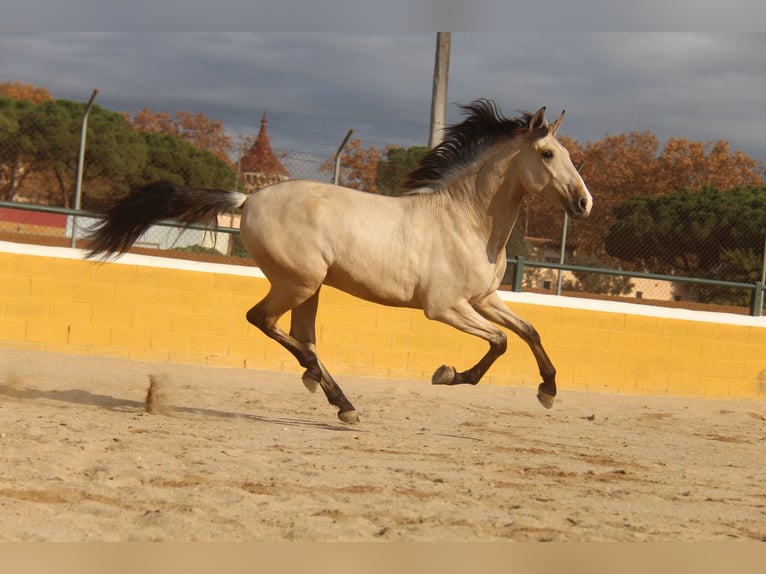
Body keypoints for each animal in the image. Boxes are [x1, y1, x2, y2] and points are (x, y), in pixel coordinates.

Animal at [88, 99, 592, 426]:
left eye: (569, 155)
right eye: (548, 154)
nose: (584, 203)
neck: (465, 220)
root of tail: (248, 198)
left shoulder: (484, 298)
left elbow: (529, 332)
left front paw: (548, 392)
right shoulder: (445, 307)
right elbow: (500, 342)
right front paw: (448, 375)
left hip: (309, 288)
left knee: (301, 336)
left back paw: (325, 388)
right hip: (298, 282)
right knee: (265, 321)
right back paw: (340, 400)